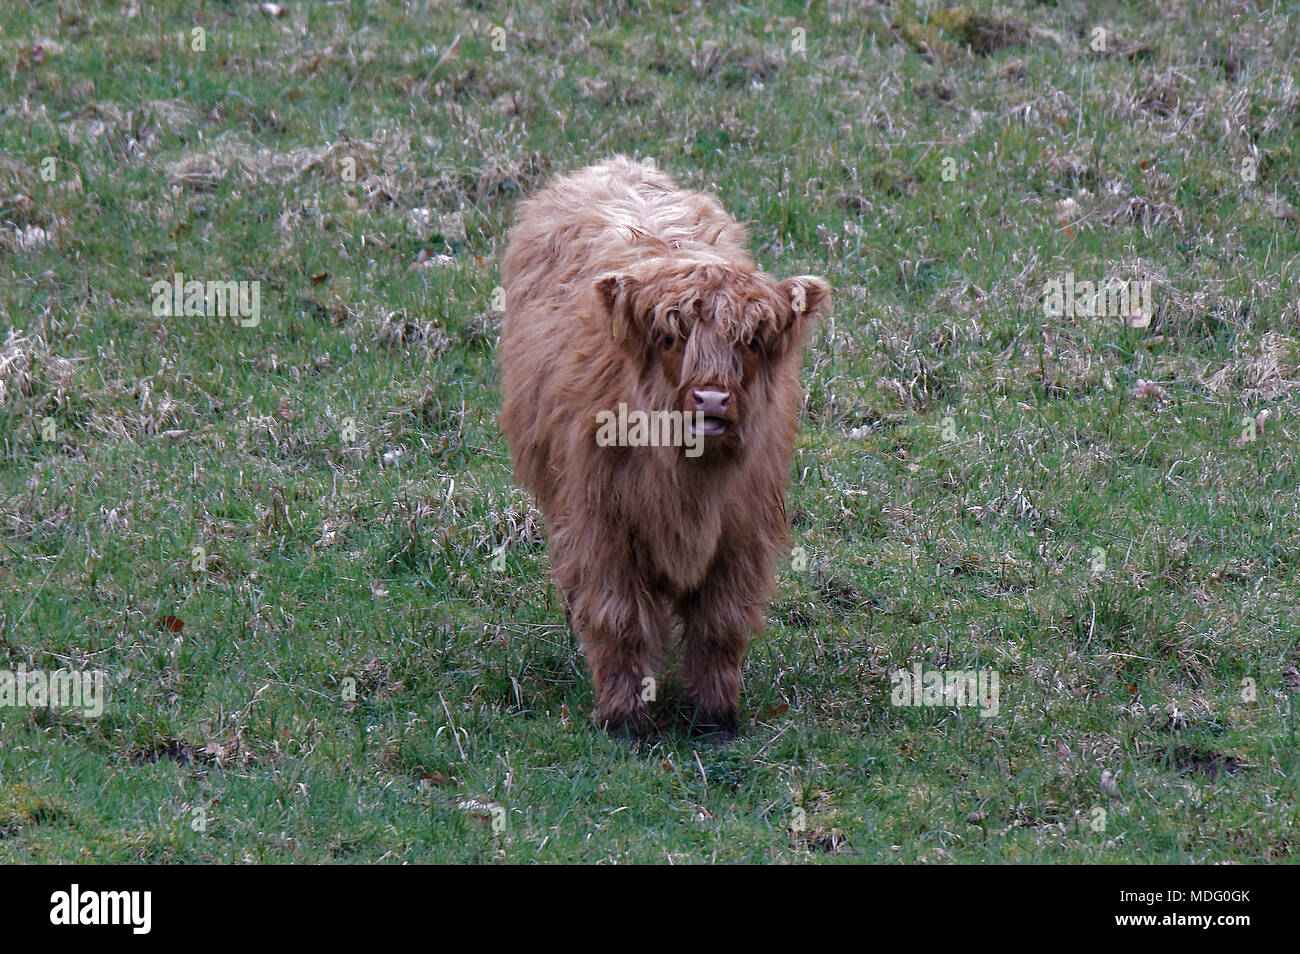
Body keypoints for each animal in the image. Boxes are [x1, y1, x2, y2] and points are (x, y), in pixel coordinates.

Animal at [501, 157, 826, 743]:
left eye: (749, 341)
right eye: (672, 339)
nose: (711, 398)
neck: (689, 488)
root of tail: (615, 164)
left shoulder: (741, 536)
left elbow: (720, 623)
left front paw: (716, 716)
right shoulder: (602, 526)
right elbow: (619, 619)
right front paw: (624, 717)